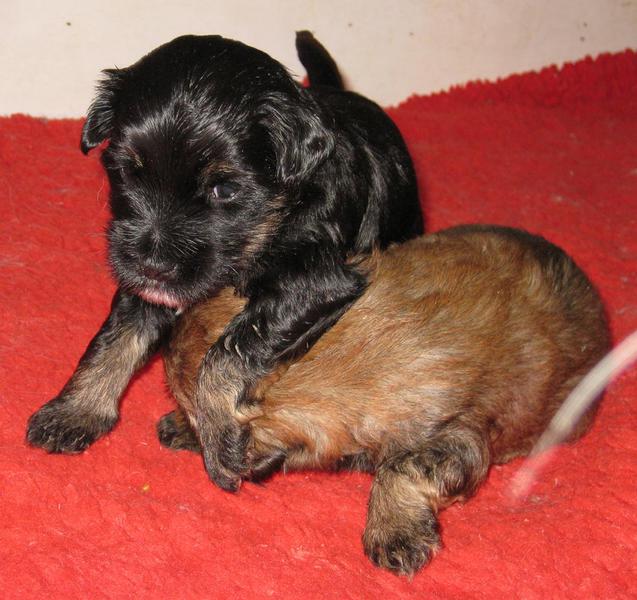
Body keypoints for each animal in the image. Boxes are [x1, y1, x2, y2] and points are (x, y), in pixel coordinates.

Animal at [26, 32, 423, 492]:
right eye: (127, 172)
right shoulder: (143, 277)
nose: (154, 264)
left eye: (225, 189)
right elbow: (114, 338)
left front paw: (221, 445)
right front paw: (74, 411)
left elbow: (225, 354)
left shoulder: (317, 282)